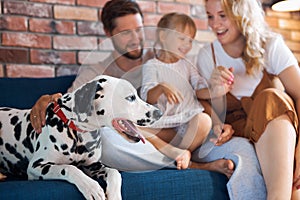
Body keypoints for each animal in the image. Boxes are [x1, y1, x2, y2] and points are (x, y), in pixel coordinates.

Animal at [0, 75, 162, 200]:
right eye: (130, 97)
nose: (159, 113)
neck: (78, 133)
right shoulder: (36, 166)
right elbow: (68, 167)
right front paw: (91, 188)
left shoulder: (93, 165)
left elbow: (114, 172)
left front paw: (114, 194)